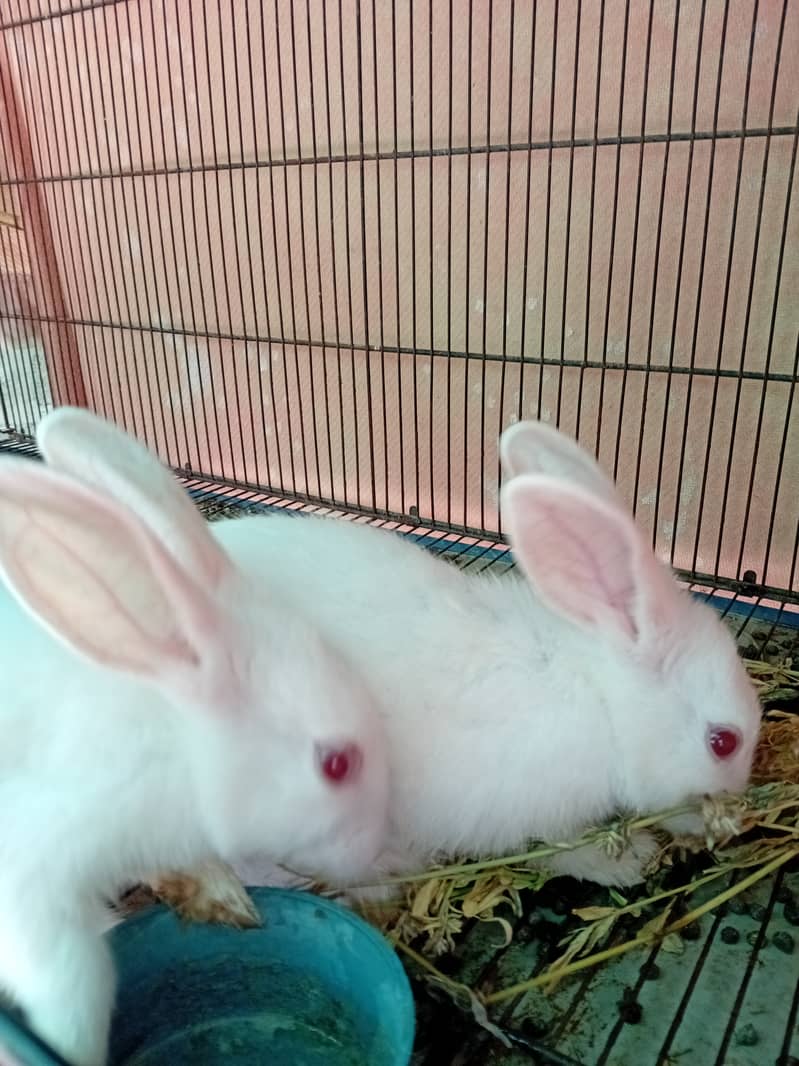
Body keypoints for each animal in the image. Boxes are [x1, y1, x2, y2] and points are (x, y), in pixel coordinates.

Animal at [0, 408, 390, 1066]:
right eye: (335, 764)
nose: (379, 850)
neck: (175, 745)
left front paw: (232, 903)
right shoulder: (33, 875)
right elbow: (76, 987)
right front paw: (68, 1048)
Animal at [152, 417, 761, 910]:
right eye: (723, 741)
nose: (735, 802)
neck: (604, 699)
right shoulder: (533, 811)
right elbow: (560, 849)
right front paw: (625, 862)